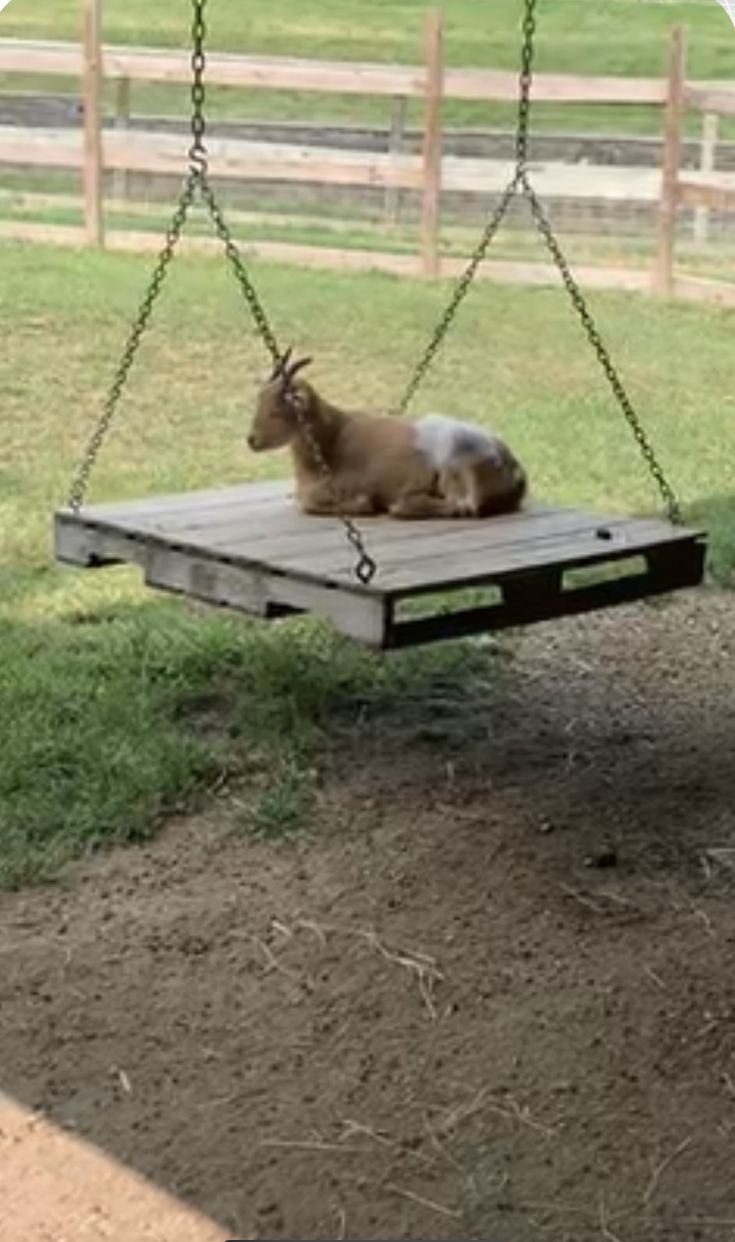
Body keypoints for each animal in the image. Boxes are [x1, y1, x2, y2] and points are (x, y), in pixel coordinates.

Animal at [248, 355, 528, 519]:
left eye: (276, 411)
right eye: (259, 401)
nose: (252, 440)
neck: (332, 441)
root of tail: (513, 467)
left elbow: (309, 503)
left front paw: (363, 503)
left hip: (457, 470)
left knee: (463, 506)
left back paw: (399, 506)